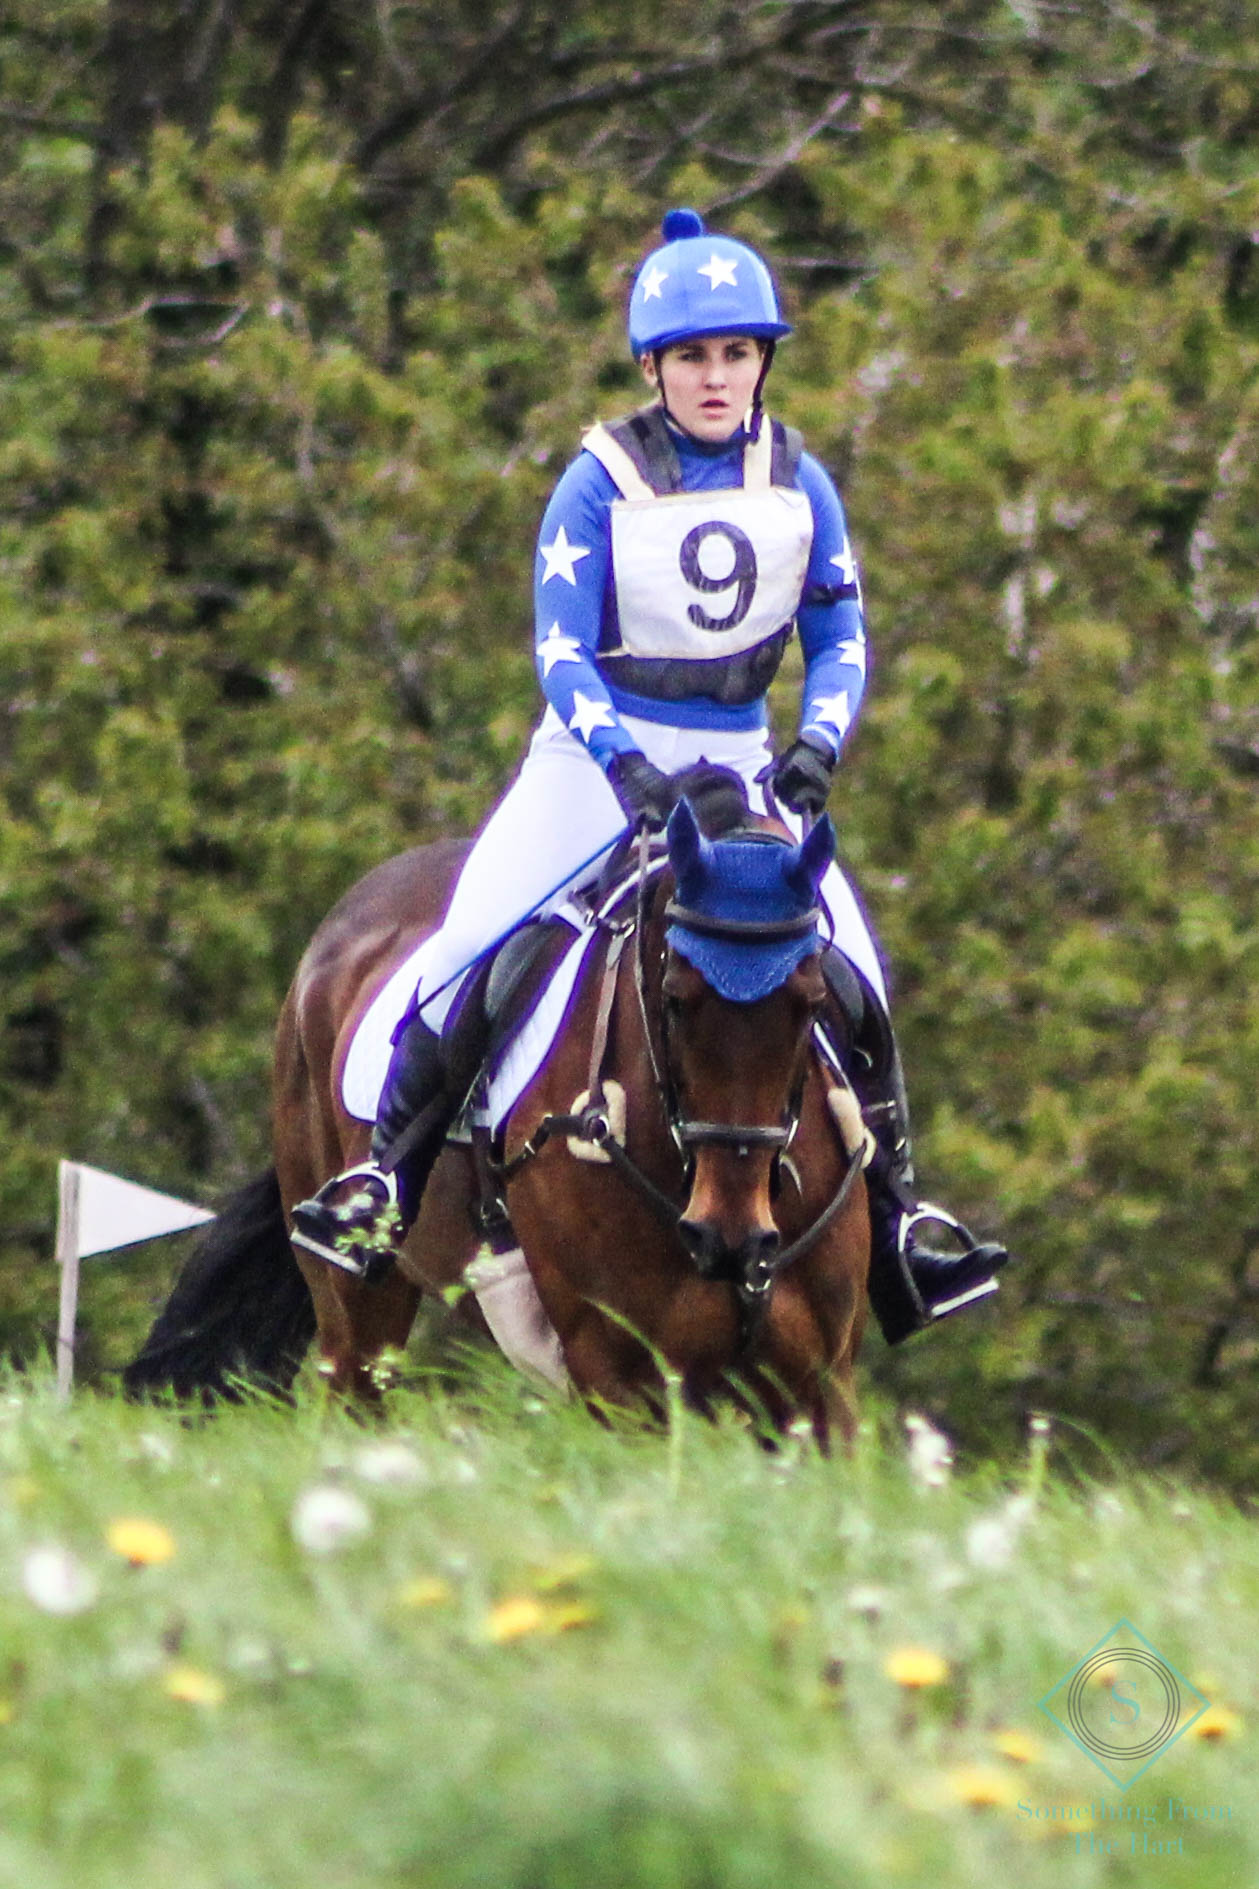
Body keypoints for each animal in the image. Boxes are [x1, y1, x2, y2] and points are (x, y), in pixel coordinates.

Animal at [124, 766, 872, 1445]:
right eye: (675, 999)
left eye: (812, 1001)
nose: (731, 1236)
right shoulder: (619, 1378)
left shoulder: (820, 1385)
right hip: (355, 1299)